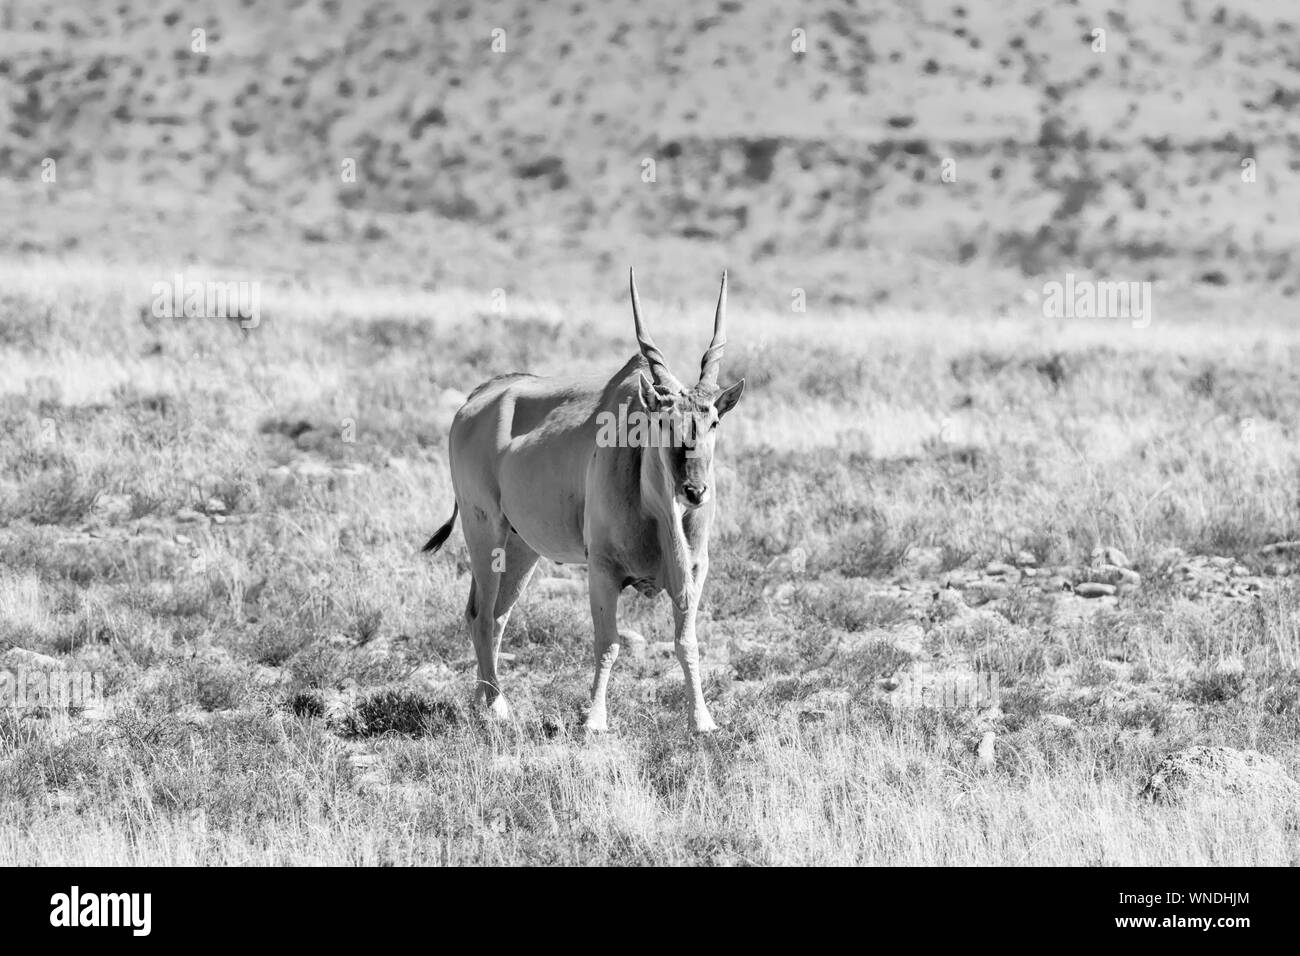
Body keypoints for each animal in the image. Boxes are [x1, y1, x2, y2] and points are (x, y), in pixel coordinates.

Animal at [421, 269, 748, 733]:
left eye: (714, 421)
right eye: (663, 421)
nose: (695, 491)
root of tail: (473, 401)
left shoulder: (695, 572)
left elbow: (687, 643)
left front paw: (702, 720)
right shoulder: (603, 571)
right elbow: (608, 643)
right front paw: (594, 719)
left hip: (521, 547)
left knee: (493, 615)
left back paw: (485, 700)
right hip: (484, 530)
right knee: (481, 616)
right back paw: (497, 708)